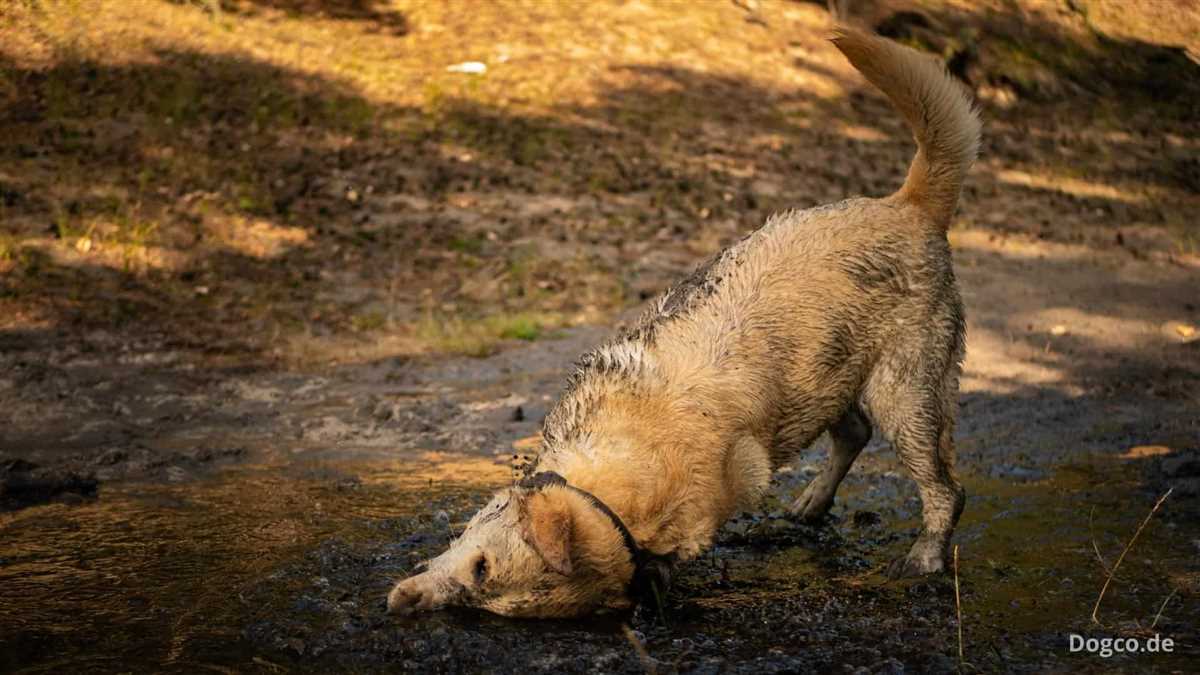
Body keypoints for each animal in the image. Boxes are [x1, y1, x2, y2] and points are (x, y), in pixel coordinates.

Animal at [388, 24, 979, 614]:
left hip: (906, 393)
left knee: (944, 487)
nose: (402, 604)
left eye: (482, 571)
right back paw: (810, 503)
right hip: (832, 375)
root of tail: (911, 205)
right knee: (854, 432)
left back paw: (924, 555)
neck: (622, 473)